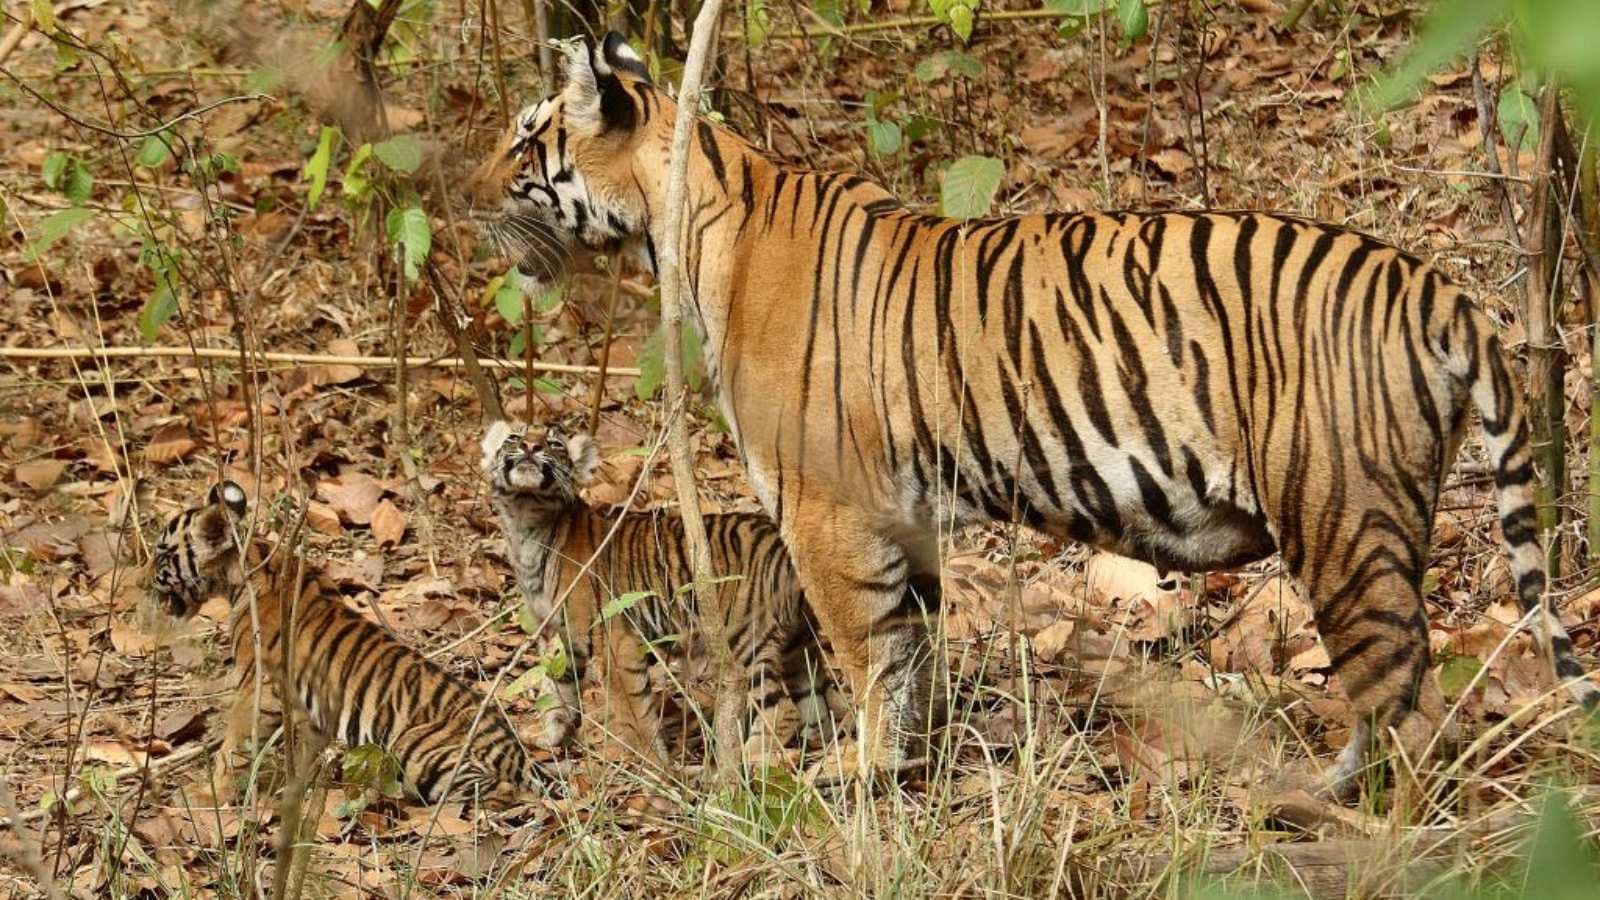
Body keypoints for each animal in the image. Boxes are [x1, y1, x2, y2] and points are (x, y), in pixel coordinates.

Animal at [146, 481, 545, 806]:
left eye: (161, 552)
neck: (251, 564)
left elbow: (231, 746)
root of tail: (518, 755)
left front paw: (206, 793)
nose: (143, 579)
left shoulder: (259, 690)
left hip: (414, 746)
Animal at [480, 421, 844, 767]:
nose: (531, 446)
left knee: (782, 710)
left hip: (745, 640)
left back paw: (748, 762)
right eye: (514, 438)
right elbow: (556, 690)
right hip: (797, 644)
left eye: (554, 443)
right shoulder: (559, 635)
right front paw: (549, 737)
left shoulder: (615, 642)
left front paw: (652, 765)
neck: (526, 521)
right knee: (815, 703)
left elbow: (635, 713)